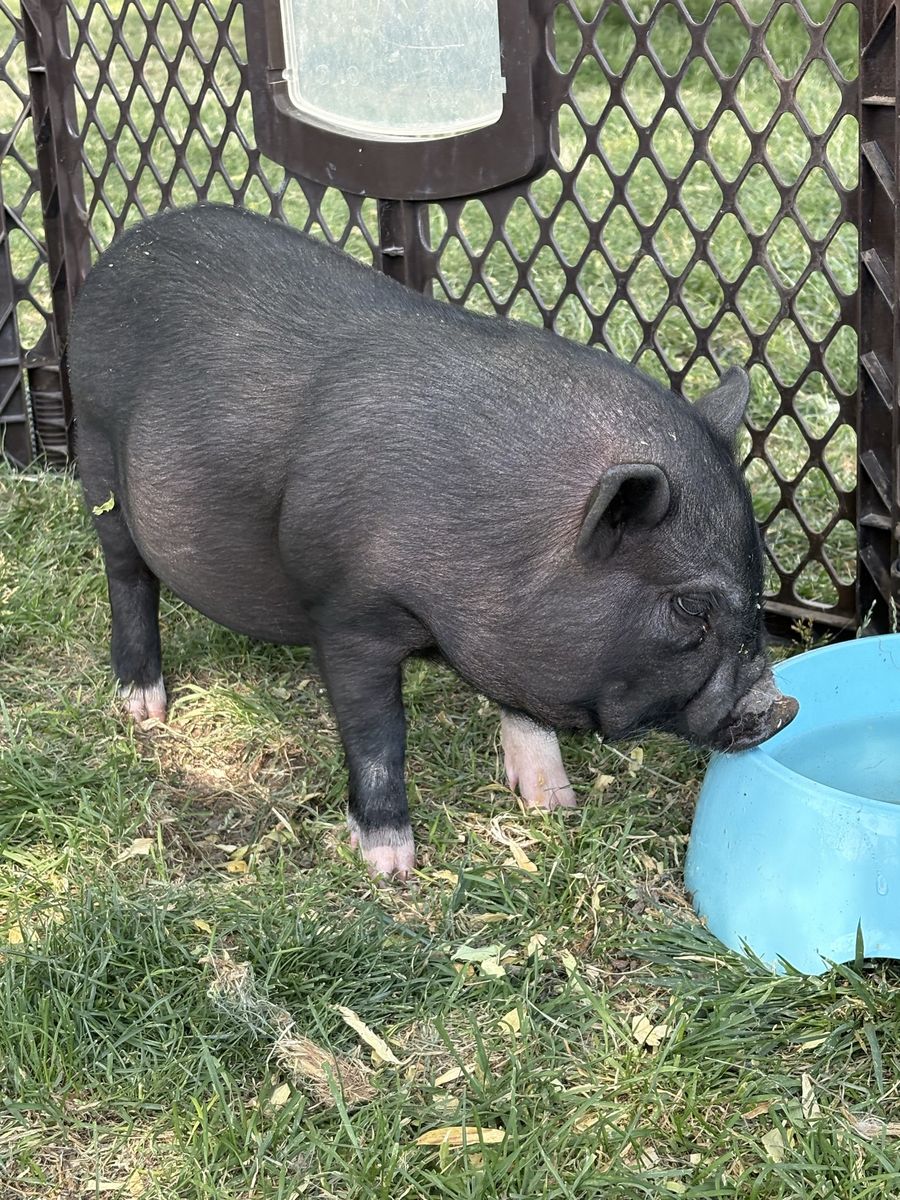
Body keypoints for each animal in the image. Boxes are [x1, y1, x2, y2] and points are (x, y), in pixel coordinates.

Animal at [67, 204, 798, 878]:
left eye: (759, 581)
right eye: (691, 607)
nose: (781, 707)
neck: (508, 535)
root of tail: (124, 247)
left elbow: (521, 704)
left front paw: (553, 804)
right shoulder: (346, 610)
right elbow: (377, 732)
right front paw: (391, 866)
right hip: (98, 452)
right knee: (128, 577)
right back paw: (143, 709)